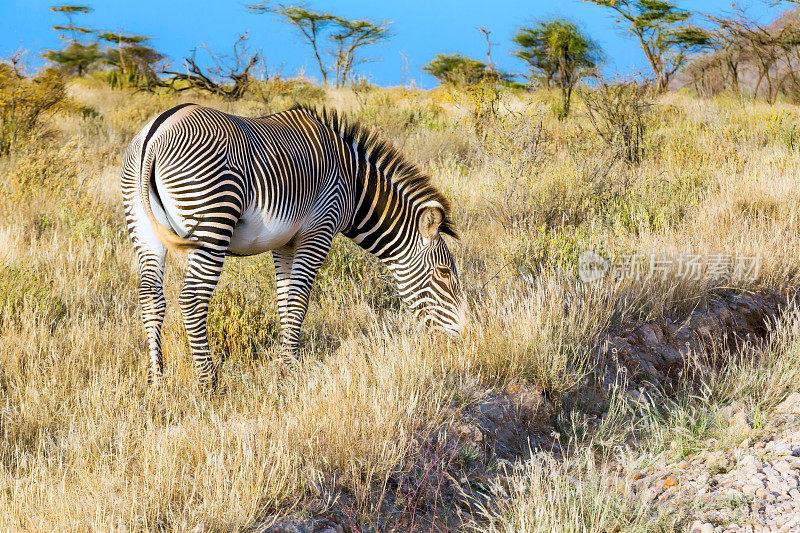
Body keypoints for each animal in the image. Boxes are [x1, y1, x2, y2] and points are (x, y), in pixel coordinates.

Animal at [121, 103, 466, 386]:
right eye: (445, 273)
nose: (465, 336)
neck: (353, 185)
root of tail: (155, 133)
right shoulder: (319, 230)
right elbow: (300, 301)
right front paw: (288, 370)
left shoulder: (285, 242)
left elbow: (285, 301)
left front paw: (287, 363)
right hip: (213, 219)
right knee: (193, 298)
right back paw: (209, 382)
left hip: (143, 225)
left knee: (150, 296)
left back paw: (157, 380)